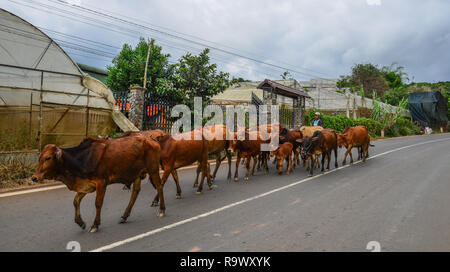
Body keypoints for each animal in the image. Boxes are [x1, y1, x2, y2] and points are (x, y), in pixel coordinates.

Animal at [30, 137, 163, 233]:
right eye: (39, 157)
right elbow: (76, 201)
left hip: (153, 170)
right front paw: (81, 222)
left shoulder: (101, 183)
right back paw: (124, 216)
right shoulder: (86, 185)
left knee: (159, 186)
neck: (82, 159)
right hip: (137, 174)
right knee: (135, 192)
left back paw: (162, 209)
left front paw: (95, 225)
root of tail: (152, 140)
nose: (34, 177)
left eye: (48, 158)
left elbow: (98, 203)